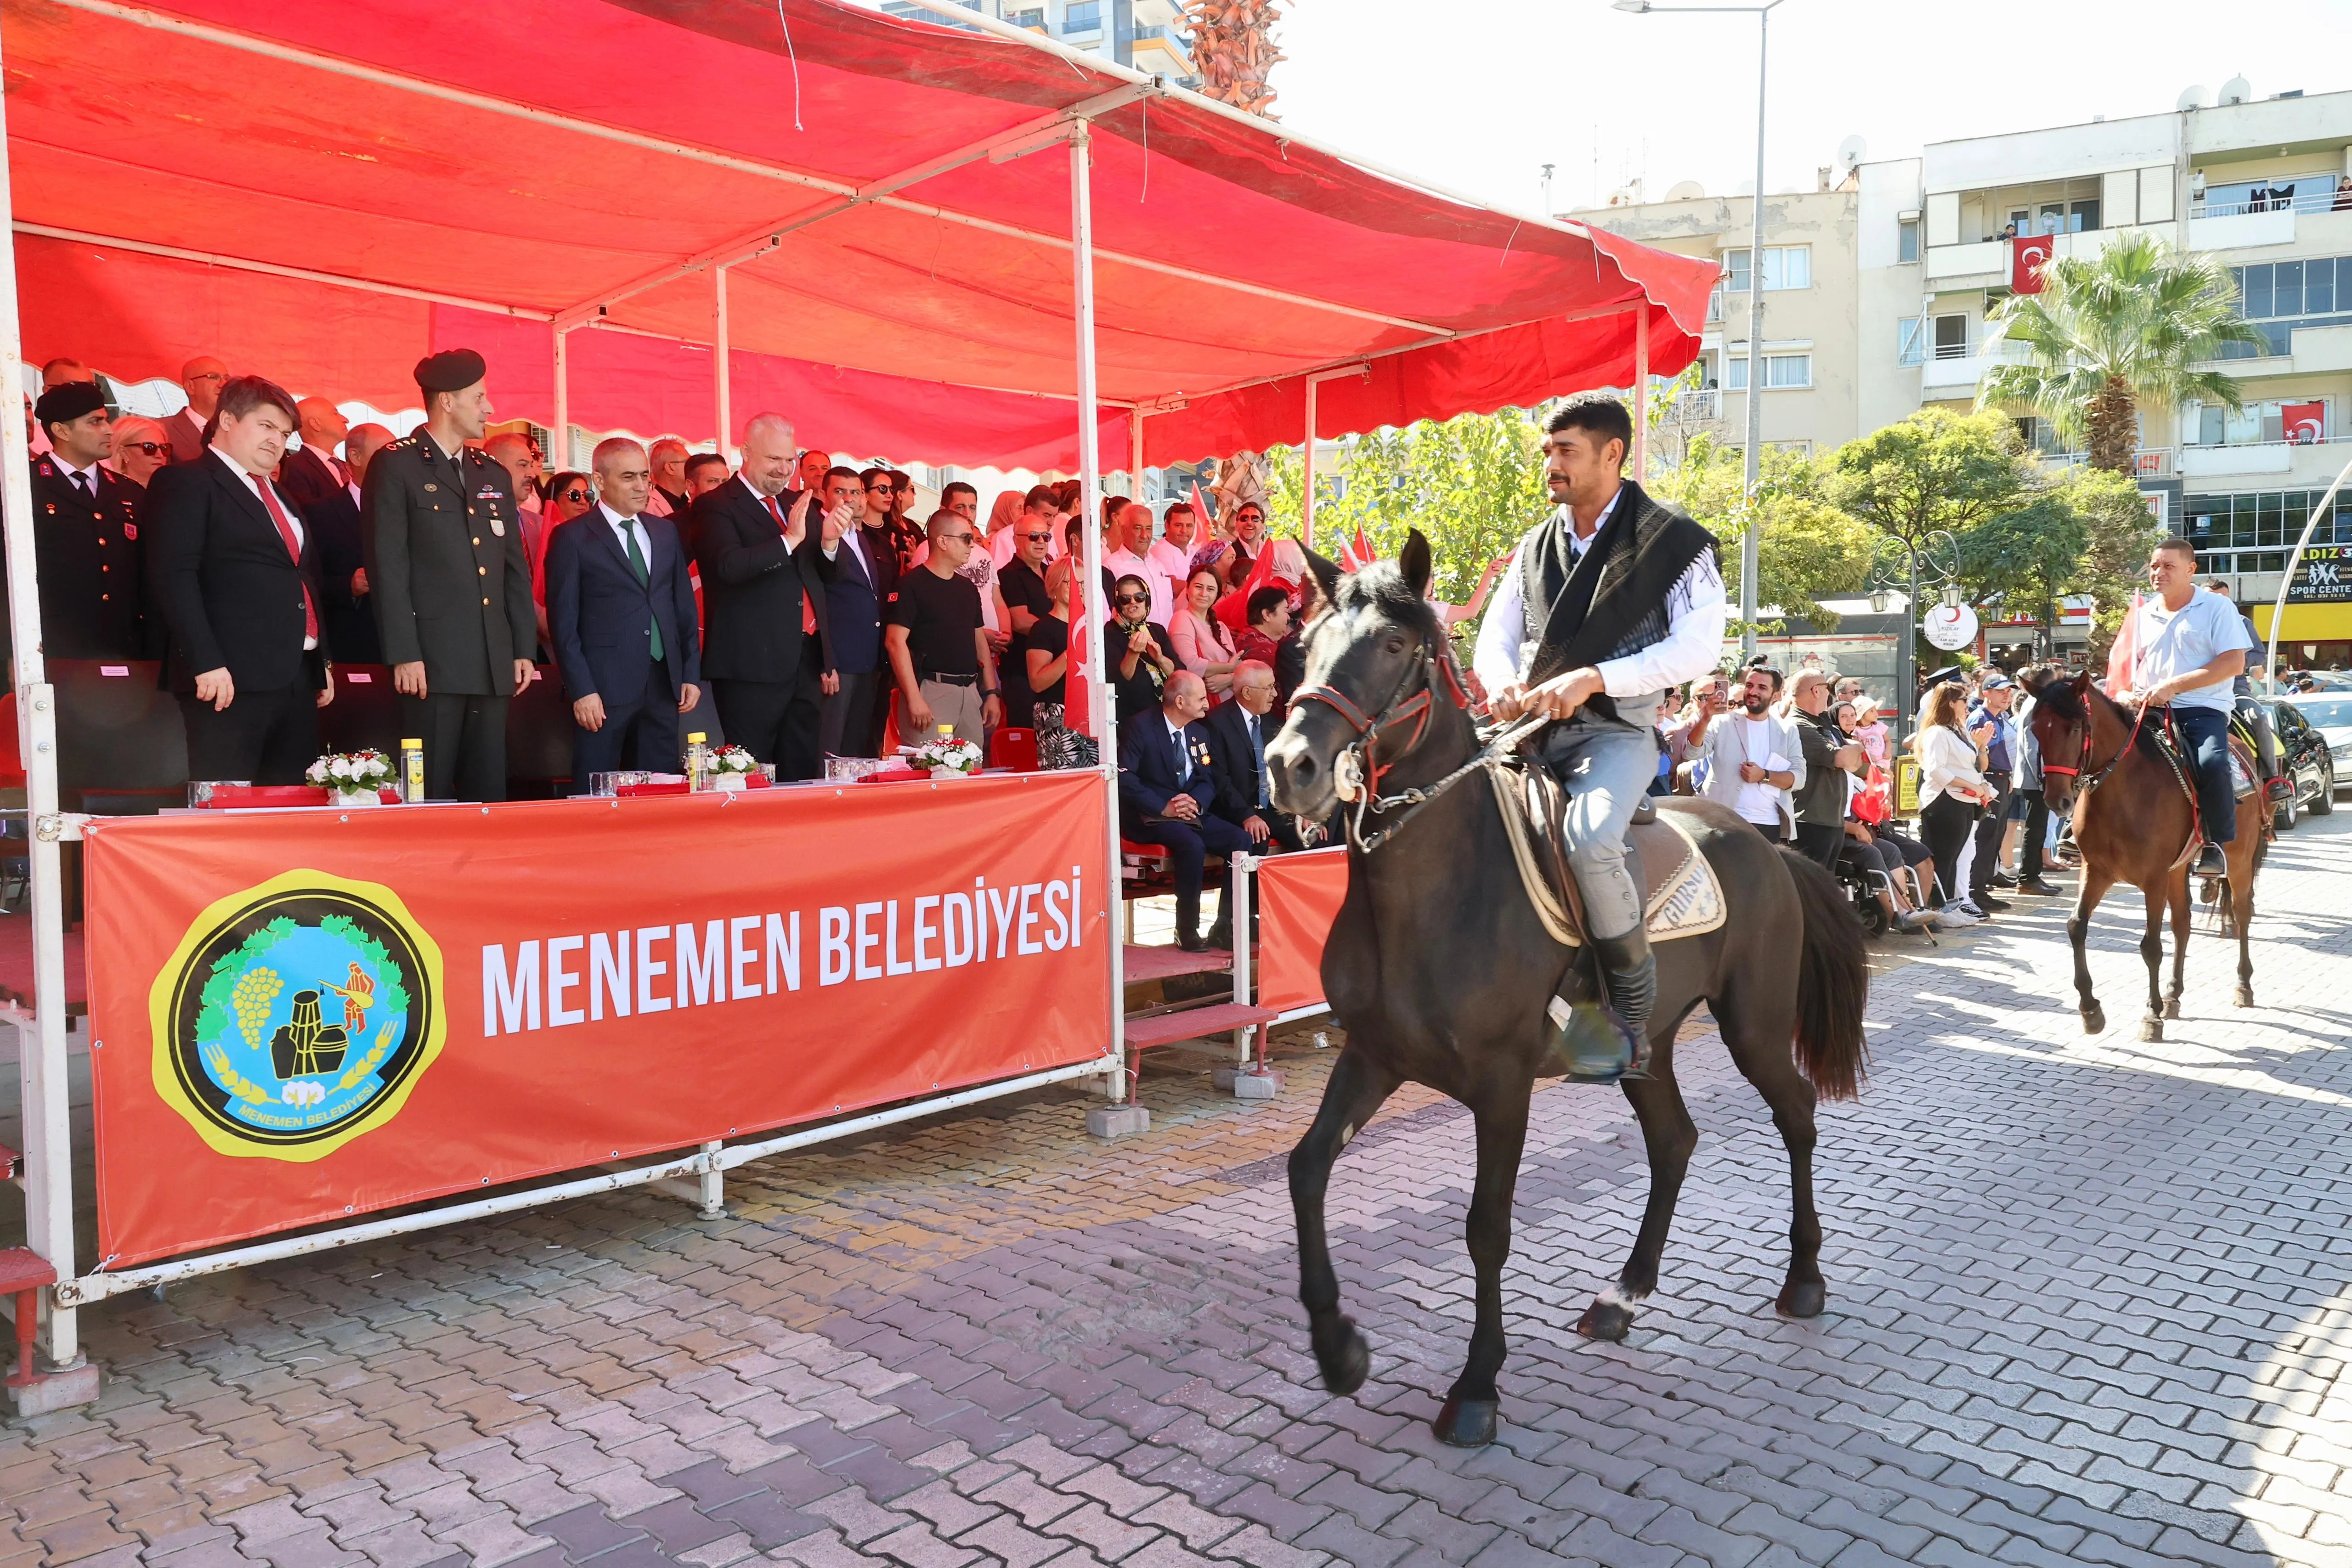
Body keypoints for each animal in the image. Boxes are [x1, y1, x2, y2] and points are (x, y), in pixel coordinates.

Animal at [1261, 536, 1863, 1448]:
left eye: (1395, 646)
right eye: (1306, 644)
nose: (1290, 766)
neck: (1436, 890)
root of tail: (1770, 844)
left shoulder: (1502, 1083)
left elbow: (1487, 1227)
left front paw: (1477, 1386)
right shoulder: (1373, 1055)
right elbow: (1304, 1171)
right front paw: (1340, 1349)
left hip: (1754, 1024)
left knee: (1795, 1115)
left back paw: (1804, 1277)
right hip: (1649, 1049)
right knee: (1676, 1140)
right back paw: (1623, 1295)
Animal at [2023, 677, 2258, 1034]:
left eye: (2075, 728)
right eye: (2035, 729)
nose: (2056, 800)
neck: (2123, 794)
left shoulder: (2154, 878)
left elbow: (2151, 946)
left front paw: (2151, 1015)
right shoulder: (2096, 871)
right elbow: (2076, 926)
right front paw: (2090, 1009)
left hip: (2239, 861)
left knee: (2242, 914)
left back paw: (2243, 985)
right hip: (2178, 870)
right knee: (2183, 924)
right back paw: (2174, 994)